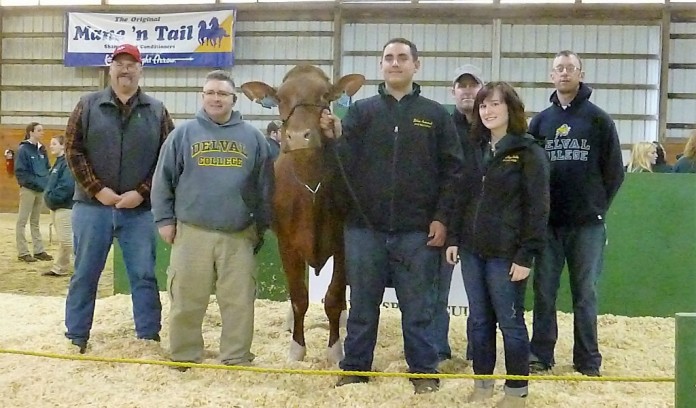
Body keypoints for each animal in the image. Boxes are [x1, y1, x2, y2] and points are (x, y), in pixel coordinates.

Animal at [241, 67, 364, 364]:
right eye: (280, 98)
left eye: (325, 95)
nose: (298, 136)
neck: (311, 187)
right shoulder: (287, 244)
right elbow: (299, 297)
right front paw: (297, 349)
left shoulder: (343, 245)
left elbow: (334, 297)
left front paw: (334, 349)